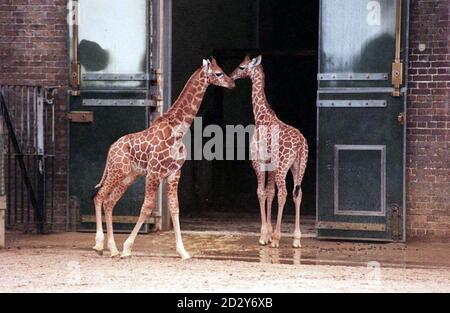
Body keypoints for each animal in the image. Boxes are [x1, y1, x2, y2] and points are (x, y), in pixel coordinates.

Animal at [89, 57, 234, 258]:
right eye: (218, 73)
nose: (232, 83)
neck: (178, 130)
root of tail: (111, 148)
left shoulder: (174, 173)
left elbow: (174, 208)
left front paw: (183, 252)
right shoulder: (154, 172)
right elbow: (147, 207)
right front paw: (127, 247)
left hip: (129, 176)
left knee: (109, 201)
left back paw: (112, 248)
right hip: (118, 170)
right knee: (99, 196)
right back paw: (99, 245)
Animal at [230, 54, 308, 247]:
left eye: (242, 67)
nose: (232, 76)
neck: (260, 117)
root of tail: (301, 143)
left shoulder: (257, 161)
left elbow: (261, 192)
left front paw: (264, 235)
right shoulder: (270, 164)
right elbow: (269, 192)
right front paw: (268, 233)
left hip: (283, 166)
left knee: (284, 193)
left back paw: (278, 238)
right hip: (299, 166)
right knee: (298, 193)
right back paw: (296, 239)